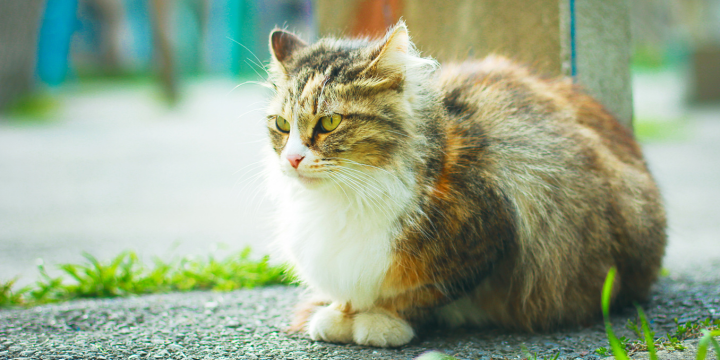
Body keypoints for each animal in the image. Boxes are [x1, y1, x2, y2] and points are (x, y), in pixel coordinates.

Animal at [262, 21, 668, 348]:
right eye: (282, 125)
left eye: (329, 123)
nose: (292, 159)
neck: (347, 196)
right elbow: (350, 292)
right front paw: (340, 312)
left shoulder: (489, 236)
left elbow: (417, 295)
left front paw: (380, 320)